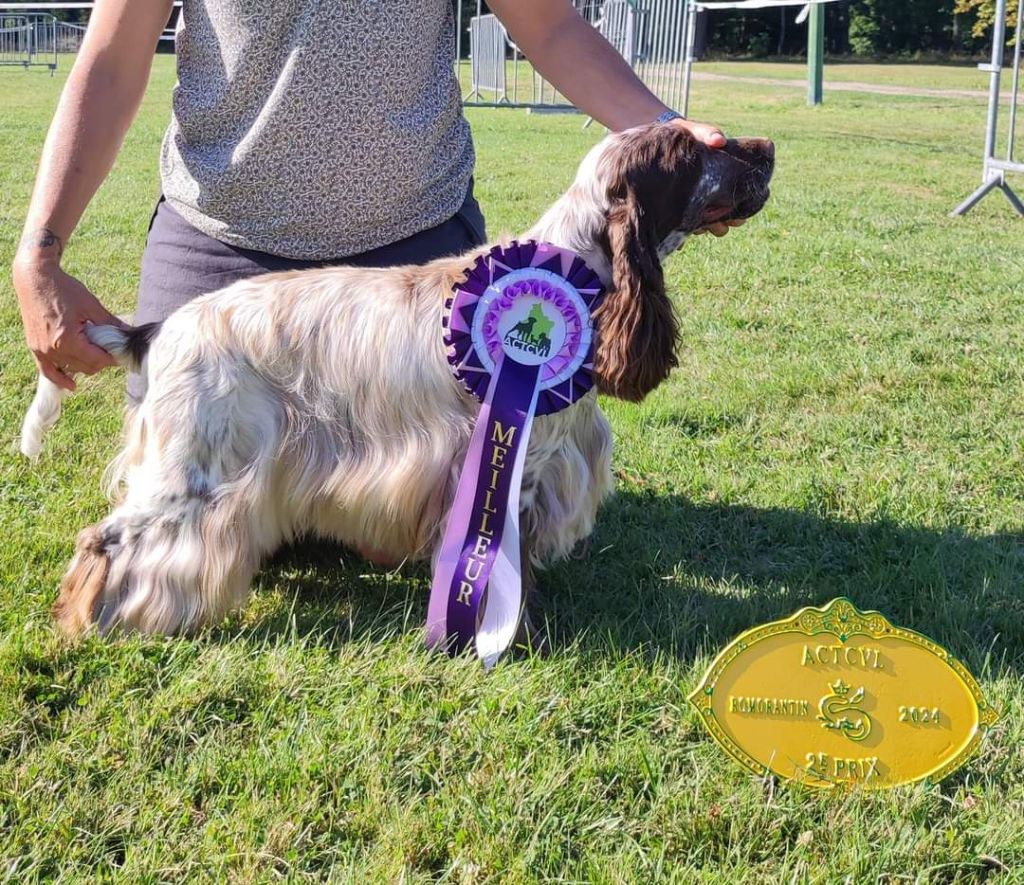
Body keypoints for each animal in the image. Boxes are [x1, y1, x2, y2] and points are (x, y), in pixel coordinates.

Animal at [21, 123, 774, 641]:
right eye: (692, 153)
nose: (766, 148)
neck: (575, 273)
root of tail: (158, 330)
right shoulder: (521, 465)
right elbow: (506, 560)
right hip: (198, 466)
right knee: (112, 538)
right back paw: (90, 619)